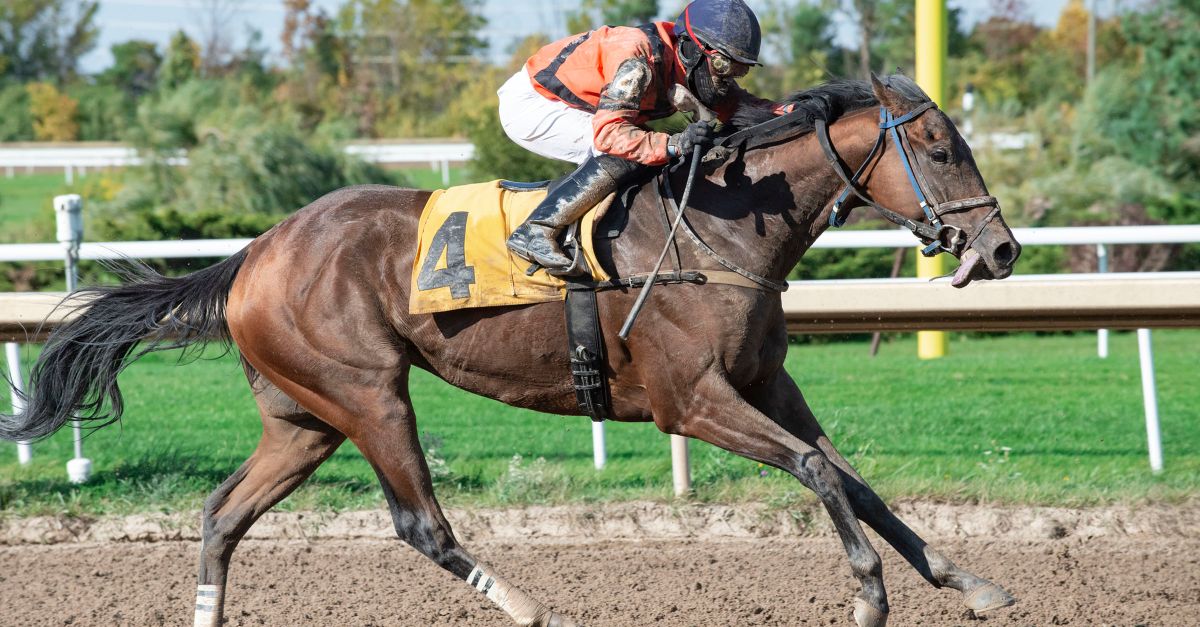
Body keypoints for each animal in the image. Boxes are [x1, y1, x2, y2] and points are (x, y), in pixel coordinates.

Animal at [1, 75, 1021, 627]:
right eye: (940, 147)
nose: (1001, 249)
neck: (722, 228)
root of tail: (255, 251)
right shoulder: (690, 401)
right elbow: (815, 470)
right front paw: (869, 592)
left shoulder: (767, 383)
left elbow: (853, 478)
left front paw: (968, 582)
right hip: (368, 394)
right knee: (421, 524)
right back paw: (540, 607)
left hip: (304, 420)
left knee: (222, 514)